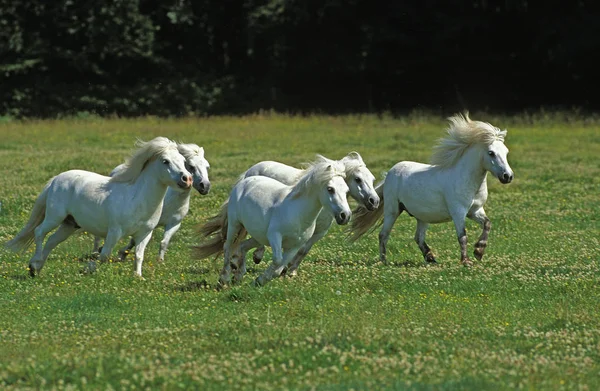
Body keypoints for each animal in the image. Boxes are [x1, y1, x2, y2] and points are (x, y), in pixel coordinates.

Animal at [5, 136, 192, 278]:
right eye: (165, 161)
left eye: (184, 161)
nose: (187, 179)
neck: (138, 198)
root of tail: (56, 179)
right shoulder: (115, 231)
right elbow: (104, 255)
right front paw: (87, 268)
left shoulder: (145, 233)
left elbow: (139, 255)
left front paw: (138, 276)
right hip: (54, 217)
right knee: (39, 233)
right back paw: (34, 264)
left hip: (69, 225)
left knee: (51, 241)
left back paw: (36, 269)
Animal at [192, 159, 352, 288]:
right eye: (330, 189)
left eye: (346, 190)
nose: (345, 216)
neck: (297, 211)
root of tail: (245, 179)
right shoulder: (275, 236)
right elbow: (277, 260)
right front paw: (259, 279)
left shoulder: (295, 245)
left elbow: (280, 268)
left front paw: (259, 281)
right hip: (234, 224)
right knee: (227, 246)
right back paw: (224, 279)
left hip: (257, 235)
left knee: (243, 246)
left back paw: (238, 275)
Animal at [350, 112, 512, 268]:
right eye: (491, 153)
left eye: (506, 151)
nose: (508, 176)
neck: (468, 181)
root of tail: (390, 172)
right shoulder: (458, 212)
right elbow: (462, 236)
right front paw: (466, 261)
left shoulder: (475, 211)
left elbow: (487, 224)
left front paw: (479, 251)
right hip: (392, 210)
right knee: (383, 234)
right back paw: (384, 261)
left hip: (422, 216)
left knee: (418, 237)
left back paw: (430, 257)